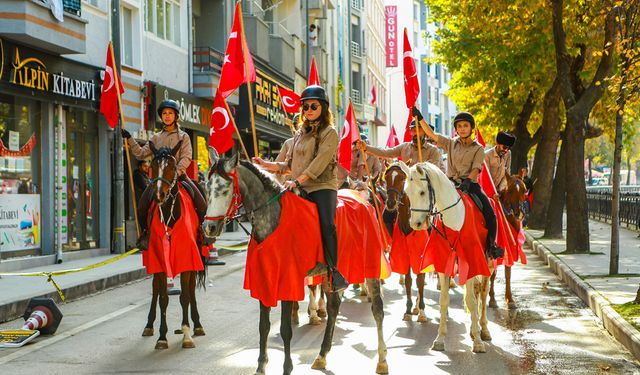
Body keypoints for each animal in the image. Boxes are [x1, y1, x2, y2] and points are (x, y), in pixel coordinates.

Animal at [139, 142, 205, 352]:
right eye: (153, 165)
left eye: (172, 166)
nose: (159, 194)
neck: (169, 211)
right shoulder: (158, 261)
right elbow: (163, 298)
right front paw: (162, 337)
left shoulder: (187, 258)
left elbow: (184, 296)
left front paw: (187, 335)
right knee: (155, 290)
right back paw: (148, 325)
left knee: (191, 289)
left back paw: (197, 325)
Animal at [202, 150, 388, 375]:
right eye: (206, 187)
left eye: (224, 189)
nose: (209, 227)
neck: (273, 218)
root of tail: (363, 200)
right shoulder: (264, 280)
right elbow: (263, 326)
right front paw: (260, 367)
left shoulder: (287, 281)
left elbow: (285, 330)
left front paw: (286, 367)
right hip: (329, 271)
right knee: (334, 306)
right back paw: (322, 355)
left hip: (370, 264)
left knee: (377, 309)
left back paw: (382, 360)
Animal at [382, 162, 428, 324]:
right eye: (387, 178)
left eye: (402, 178)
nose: (391, 203)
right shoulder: (404, 253)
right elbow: (408, 280)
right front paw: (408, 310)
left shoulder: (420, 253)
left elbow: (420, 280)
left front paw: (422, 311)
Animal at [400, 162, 496, 356]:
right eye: (407, 192)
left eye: (422, 192)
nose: (415, 224)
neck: (454, 218)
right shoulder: (444, 265)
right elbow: (444, 301)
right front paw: (439, 339)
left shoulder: (472, 262)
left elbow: (472, 302)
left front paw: (478, 343)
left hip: (488, 265)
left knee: (483, 293)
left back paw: (483, 330)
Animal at [488, 175, 528, 310]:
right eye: (510, 190)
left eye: (524, 190)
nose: (518, 213)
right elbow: (493, 274)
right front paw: (492, 299)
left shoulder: (509, 249)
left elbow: (508, 274)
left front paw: (510, 300)